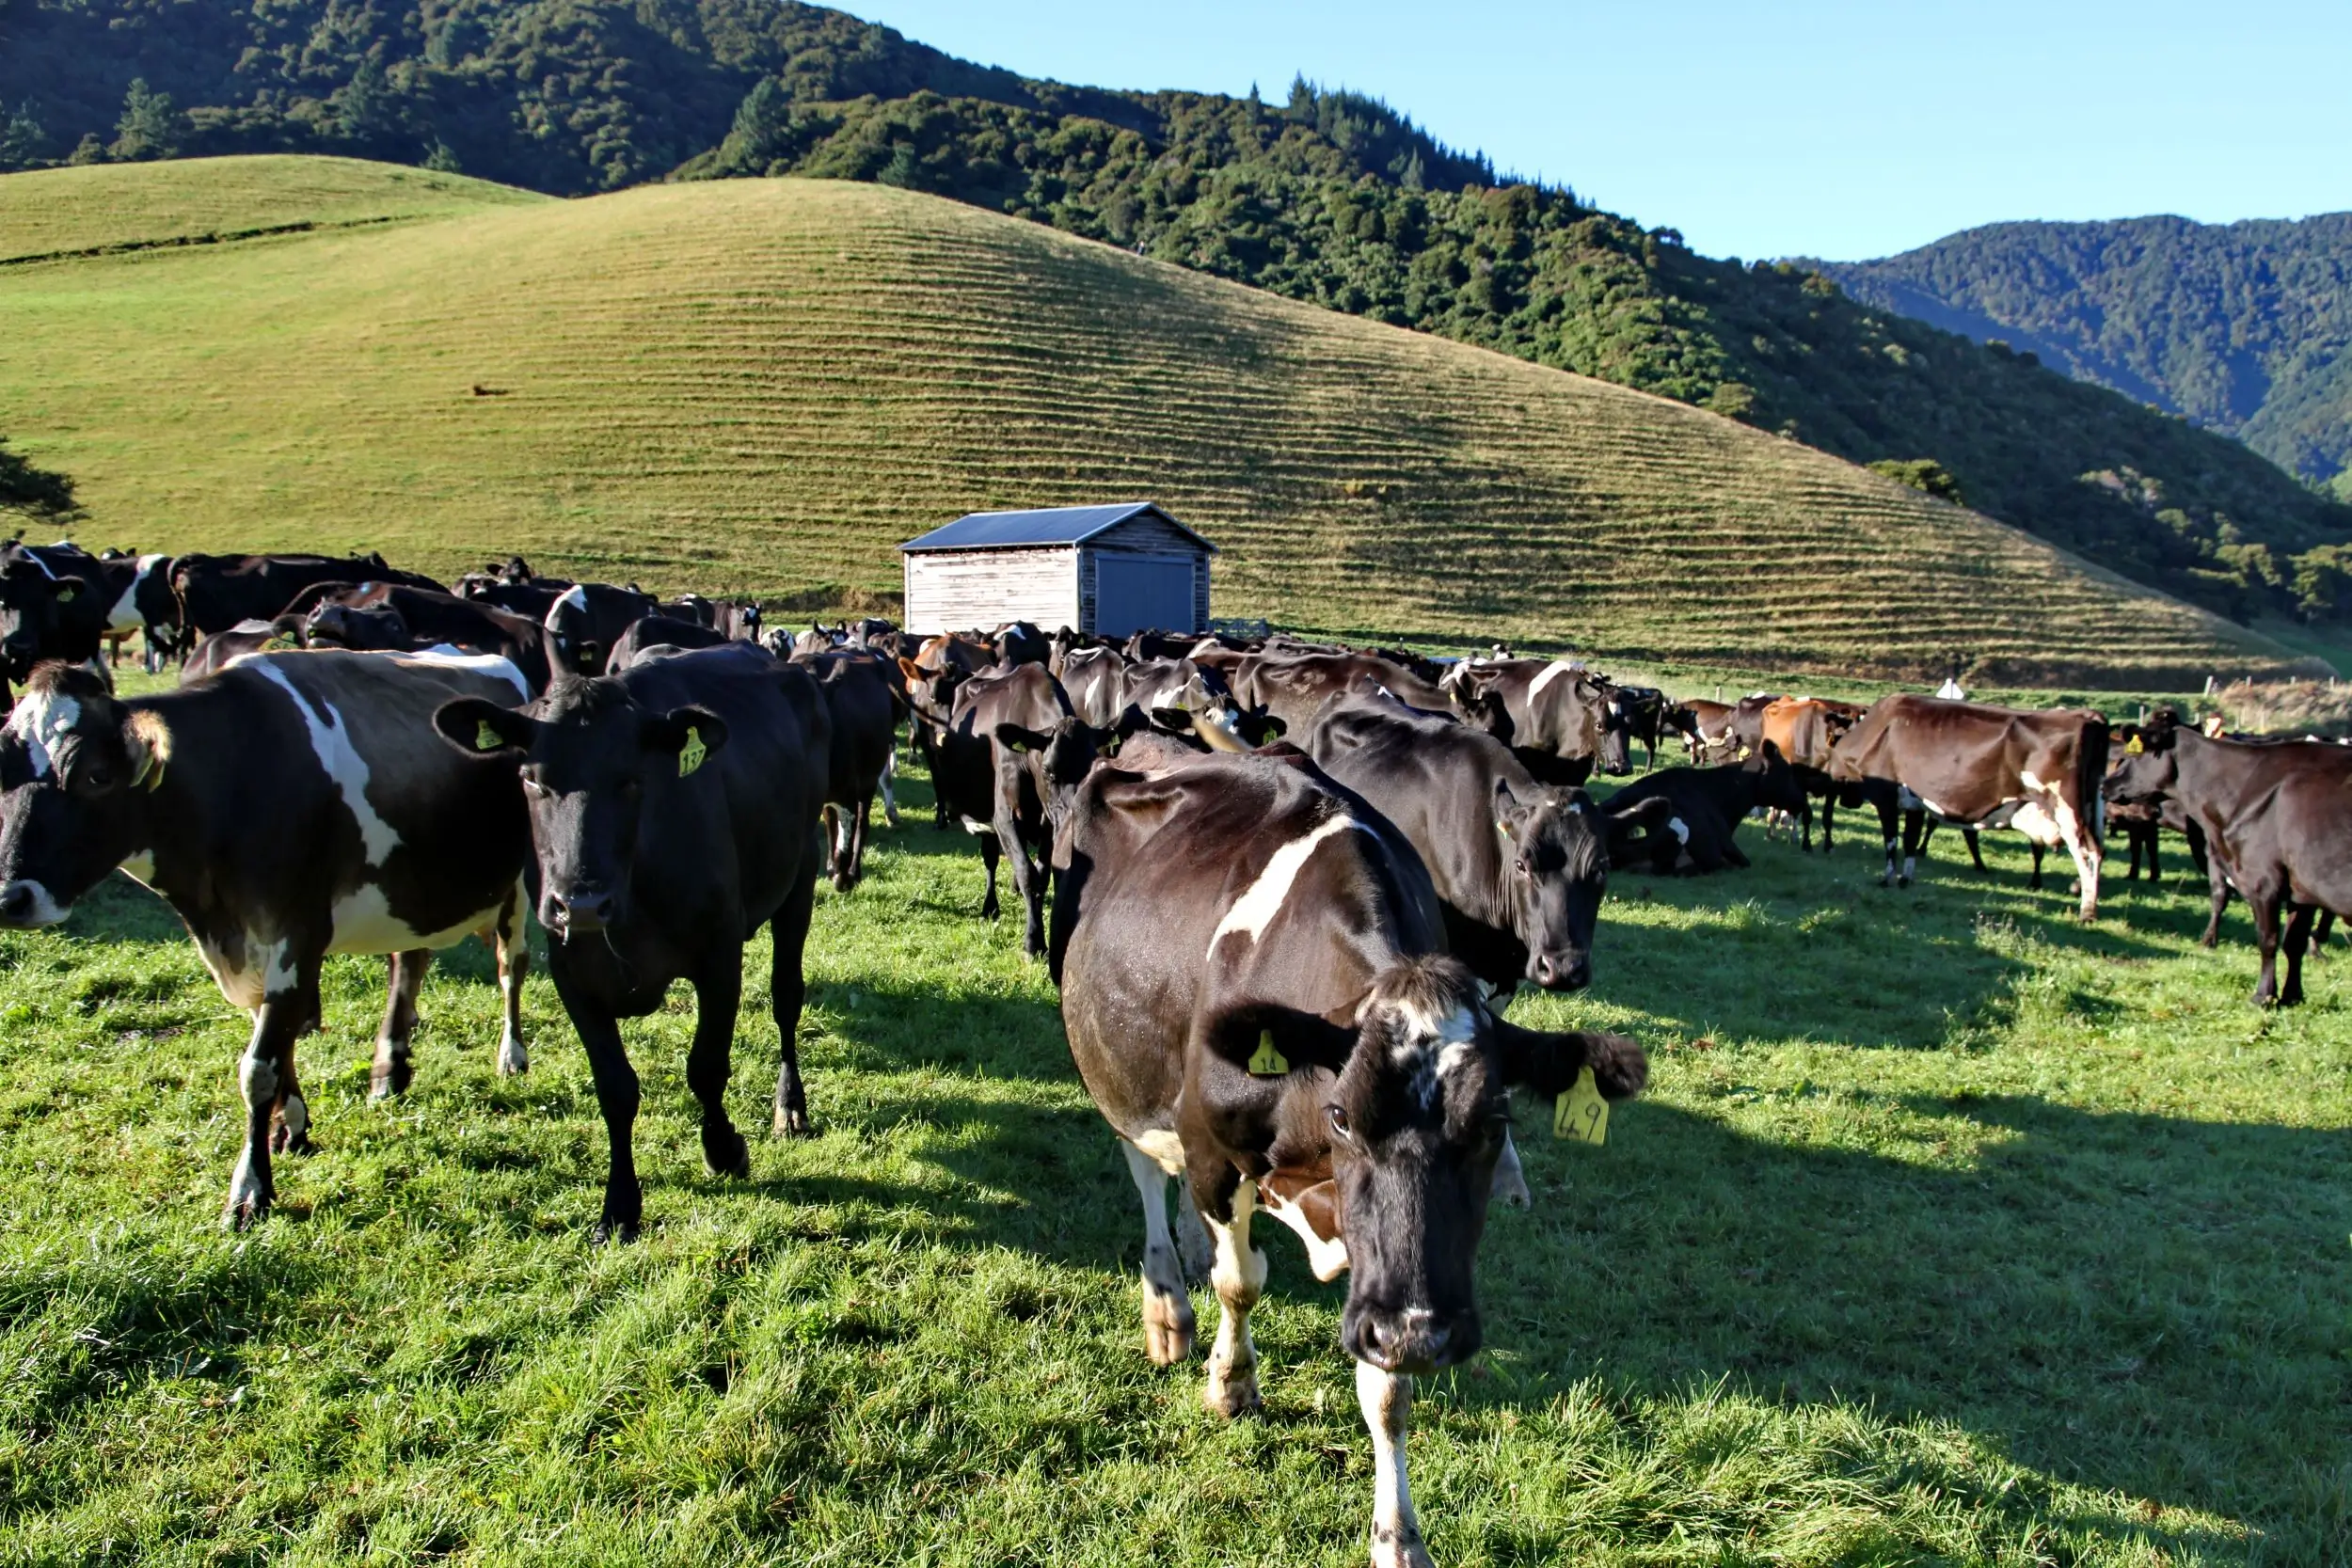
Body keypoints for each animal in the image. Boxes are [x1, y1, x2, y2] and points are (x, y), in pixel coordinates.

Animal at [0, 648, 536, 1222]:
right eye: (2, 774)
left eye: (96, 776)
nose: (11, 898)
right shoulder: (251, 943)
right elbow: (279, 1040)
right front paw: (291, 1126)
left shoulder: (296, 932)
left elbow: (259, 1066)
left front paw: (250, 1187)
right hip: (411, 892)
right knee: (408, 964)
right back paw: (389, 1071)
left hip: (520, 886)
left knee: (511, 967)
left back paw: (512, 1055)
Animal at [437, 639, 833, 1241]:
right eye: (530, 778)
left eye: (632, 778)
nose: (580, 903)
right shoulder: (571, 973)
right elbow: (615, 1089)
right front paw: (619, 1205)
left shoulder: (720, 954)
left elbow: (706, 1066)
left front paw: (724, 1150)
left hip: (801, 873)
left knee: (787, 996)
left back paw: (789, 1105)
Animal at [927, 662, 1101, 958]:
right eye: (1048, 771)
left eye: (1092, 769)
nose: (1074, 816)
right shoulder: (1004, 817)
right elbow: (1027, 872)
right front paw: (1033, 942)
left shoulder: (1049, 826)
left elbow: (1043, 875)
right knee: (990, 858)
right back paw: (990, 907)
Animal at [1058, 747, 1646, 1568]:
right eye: (1340, 1114)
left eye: (1495, 1120)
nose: (1422, 1333)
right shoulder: (1212, 1146)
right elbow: (1240, 1280)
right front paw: (1231, 1382)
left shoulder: (1393, 1270)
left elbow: (1388, 1392)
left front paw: (1398, 1535)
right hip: (1113, 1061)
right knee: (1147, 1169)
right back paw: (1167, 1301)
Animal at [1816, 700, 2117, 921]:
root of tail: (2088, 716)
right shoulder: (1915, 803)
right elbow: (1911, 842)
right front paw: (1906, 879)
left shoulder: (1887, 799)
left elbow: (1891, 841)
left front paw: (1887, 878)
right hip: (2092, 807)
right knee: (2099, 850)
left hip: (2066, 810)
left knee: (2087, 853)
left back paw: (2087, 911)